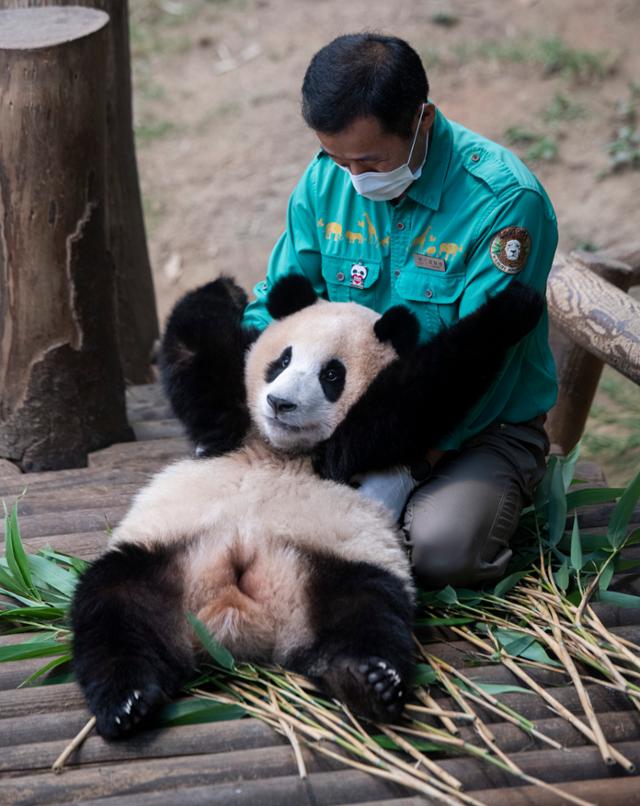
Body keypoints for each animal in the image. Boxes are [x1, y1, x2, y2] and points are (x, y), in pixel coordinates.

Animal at [72, 276, 544, 740]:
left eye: (332, 374)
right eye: (282, 361)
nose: (279, 404)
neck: (280, 450)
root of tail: (239, 622)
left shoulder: (342, 451)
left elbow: (411, 400)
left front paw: (515, 305)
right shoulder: (236, 423)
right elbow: (201, 359)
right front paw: (228, 290)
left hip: (337, 565)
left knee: (366, 616)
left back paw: (368, 681)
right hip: (158, 556)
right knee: (114, 611)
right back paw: (126, 701)